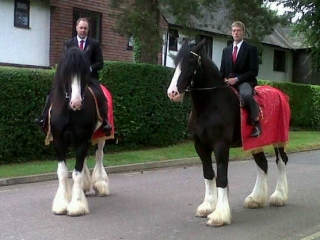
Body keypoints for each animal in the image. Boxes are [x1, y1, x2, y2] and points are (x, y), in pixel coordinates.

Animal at [48, 46, 110, 216]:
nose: (76, 103)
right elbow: (63, 172)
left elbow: (77, 173)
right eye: (65, 72)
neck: (70, 112)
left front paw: (77, 205)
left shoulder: (83, 140)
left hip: (101, 137)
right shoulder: (59, 141)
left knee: (99, 156)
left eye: (84, 73)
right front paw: (62, 203)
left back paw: (101, 184)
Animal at [169, 38, 292, 226]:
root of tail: (280, 94)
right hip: (255, 143)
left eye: (191, 61)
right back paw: (255, 199)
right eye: (176, 62)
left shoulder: (221, 146)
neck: (211, 105)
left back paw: (279, 196)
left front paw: (219, 215)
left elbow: (221, 177)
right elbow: (208, 174)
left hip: (278, 139)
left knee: (281, 162)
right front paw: (207, 207)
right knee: (262, 164)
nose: (173, 93)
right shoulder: (201, 146)